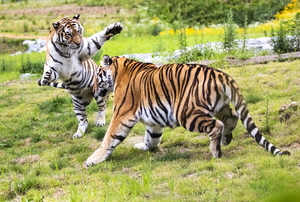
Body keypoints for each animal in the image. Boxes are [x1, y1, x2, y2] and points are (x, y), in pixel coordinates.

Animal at [85, 55, 290, 166]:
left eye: (97, 75)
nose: (93, 90)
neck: (119, 70)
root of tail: (220, 74)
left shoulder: (122, 114)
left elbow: (109, 138)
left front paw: (93, 160)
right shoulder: (154, 118)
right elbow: (151, 137)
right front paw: (145, 147)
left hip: (185, 112)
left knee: (216, 125)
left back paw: (216, 151)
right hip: (219, 106)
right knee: (231, 117)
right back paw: (225, 140)